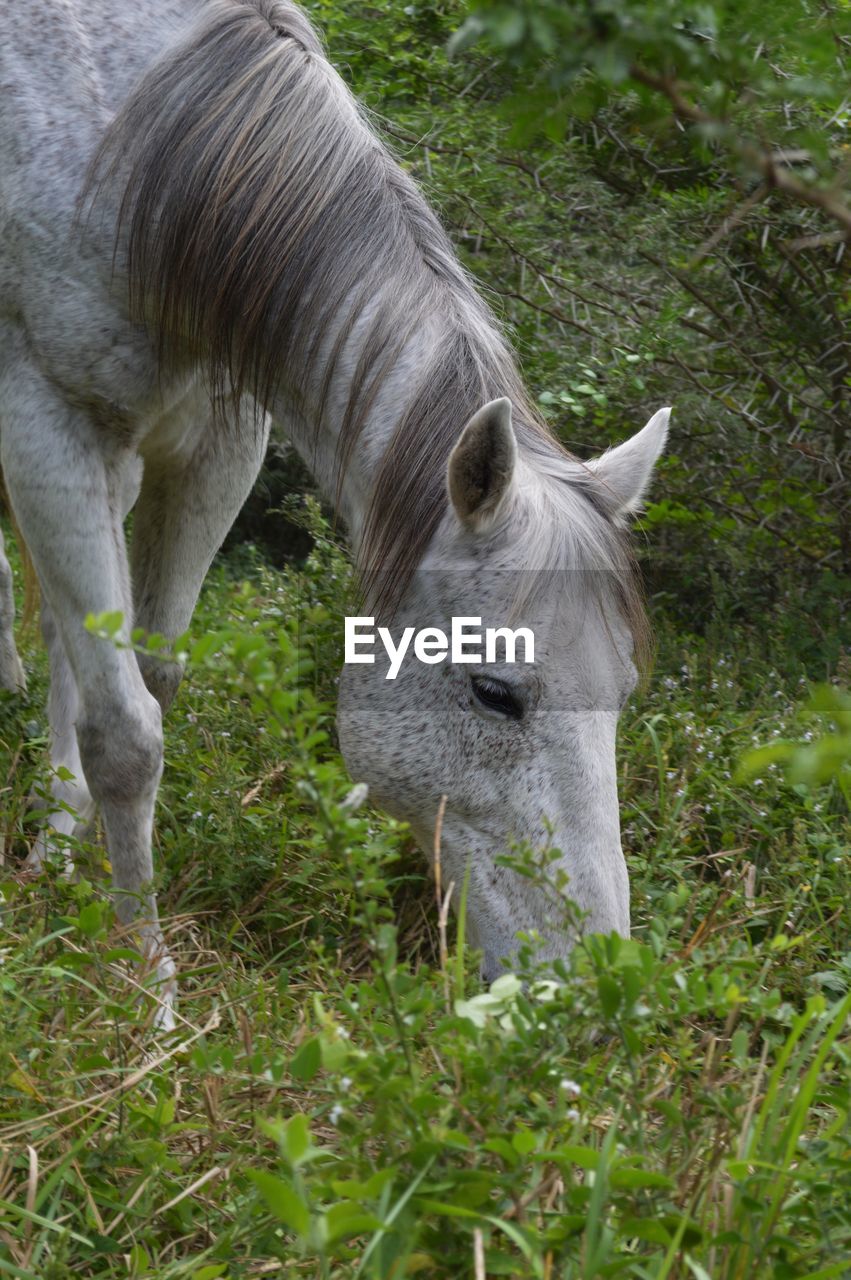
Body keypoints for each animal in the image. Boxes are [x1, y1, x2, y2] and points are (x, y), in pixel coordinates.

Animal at [0, 0, 670, 1024]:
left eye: (625, 693)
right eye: (494, 692)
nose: (599, 991)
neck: (133, 136)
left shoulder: (217, 445)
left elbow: (145, 680)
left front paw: (75, 875)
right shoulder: (45, 421)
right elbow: (125, 735)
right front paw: (144, 989)